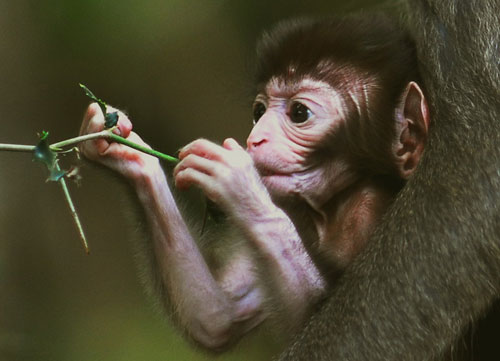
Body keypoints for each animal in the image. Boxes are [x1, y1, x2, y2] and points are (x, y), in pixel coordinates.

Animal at [79, 14, 430, 352]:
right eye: (259, 110)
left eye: (299, 113)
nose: (254, 138)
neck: (334, 206)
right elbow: (219, 317)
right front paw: (123, 148)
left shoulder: (368, 208)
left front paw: (238, 185)